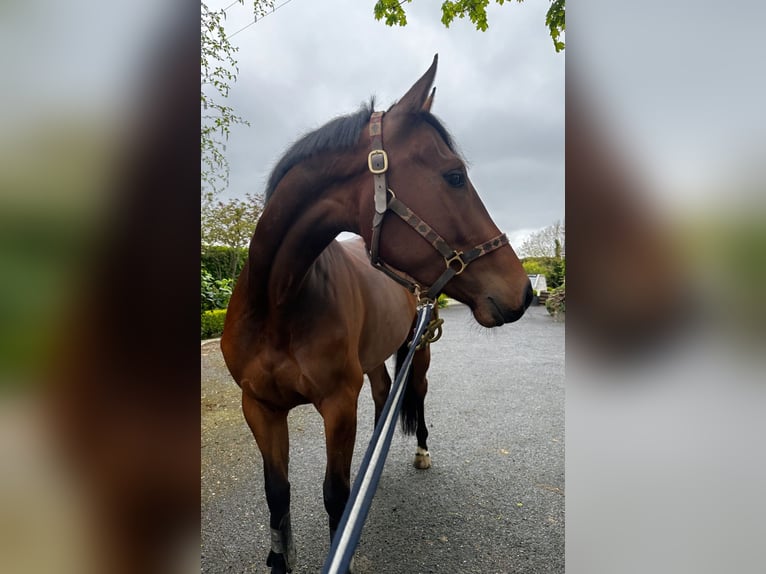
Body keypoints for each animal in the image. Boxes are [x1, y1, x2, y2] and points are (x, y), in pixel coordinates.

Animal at [220, 55, 536, 574]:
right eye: (454, 175)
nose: (524, 291)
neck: (278, 306)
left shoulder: (337, 403)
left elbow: (335, 493)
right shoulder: (259, 406)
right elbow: (277, 494)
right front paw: (279, 558)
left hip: (419, 353)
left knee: (416, 393)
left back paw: (422, 450)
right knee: (386, 391)